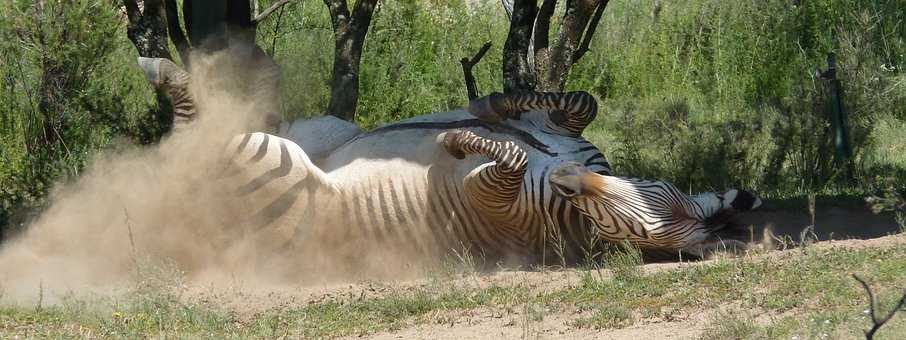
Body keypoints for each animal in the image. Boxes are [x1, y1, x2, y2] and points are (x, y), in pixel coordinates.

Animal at [141, 57, 760, 266]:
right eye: (645, 197)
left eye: (604, 224)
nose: (563, 180)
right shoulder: (567, 131)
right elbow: (578, 98)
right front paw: (493, 105)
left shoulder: (498, 201)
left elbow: (506, 159)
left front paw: (464, 137)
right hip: (321, 130)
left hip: (269, 162)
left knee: (192, 140)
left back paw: (161, 71)